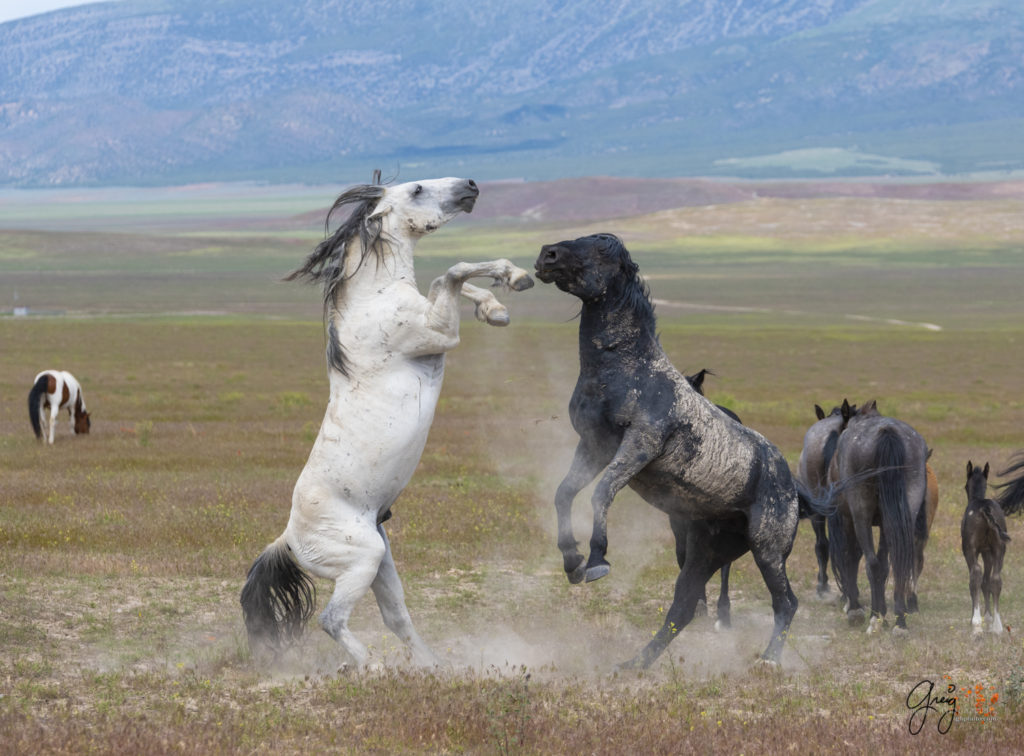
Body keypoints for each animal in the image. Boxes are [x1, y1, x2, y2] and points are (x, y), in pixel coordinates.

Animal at [236, 172, 532, 663]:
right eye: (416, 189)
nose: (470, 185)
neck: (373, 300)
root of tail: (290, 541)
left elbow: (451, 279)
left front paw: (498, 304)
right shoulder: (439, 332)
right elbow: (451, 272)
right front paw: (513, 281)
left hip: (383, 566)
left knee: (397, 618)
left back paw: (431, 666)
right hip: (363, 561)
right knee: (331, 619)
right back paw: (366, 667)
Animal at [532, 234, 819, 663]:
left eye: (600, 249)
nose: (546, 255)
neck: (629, 370)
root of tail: (792, 486)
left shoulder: (641, 443)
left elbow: (601, 492)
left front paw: (597, 560)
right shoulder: (595, 445)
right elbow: (565, 493)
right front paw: (572, 561)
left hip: (767, 549)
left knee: (786, 603)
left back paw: (769, 659)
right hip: (705, 551)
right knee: (682, 607)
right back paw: (632, 666)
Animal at [823, 397, 929, 635]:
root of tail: (886, 431)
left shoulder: (848, 518)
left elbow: (850, 556)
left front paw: (856, 609)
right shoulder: (885, 523)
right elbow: (884, 563)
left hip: (860, 514)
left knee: (870, 563)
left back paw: (873, 619)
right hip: (900, 516)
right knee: (895, 564)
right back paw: (899, 623)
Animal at [958, 458, 1007, 631]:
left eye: (966, 486)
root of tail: (985, 507)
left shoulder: (971, 550)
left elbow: (976, 579)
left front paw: (977, 617)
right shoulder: (987, 551)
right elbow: (987, 582)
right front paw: (989, 617)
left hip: (970, 549)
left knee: (976, 575)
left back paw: (976, 621)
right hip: (1000, 548)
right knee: (995, 579)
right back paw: (998, 626)